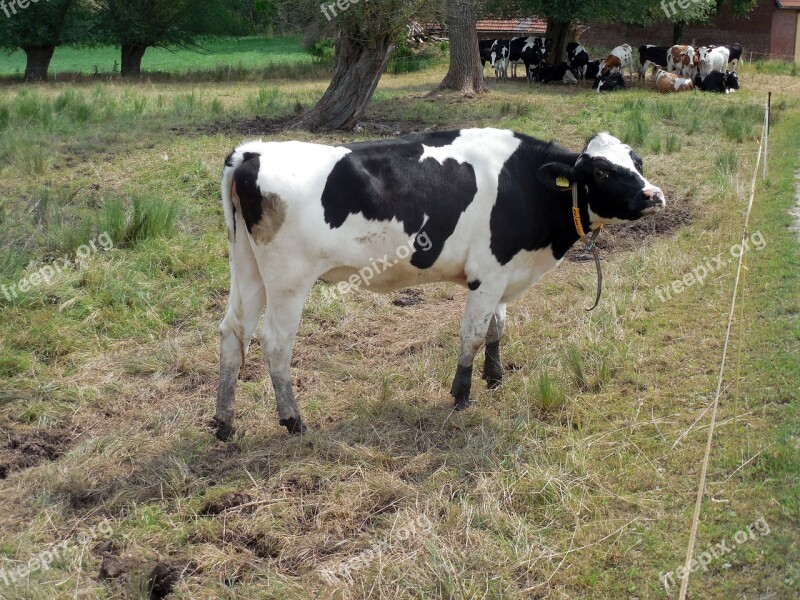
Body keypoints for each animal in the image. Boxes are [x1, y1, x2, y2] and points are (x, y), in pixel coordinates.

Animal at [216, 129, 664, 438]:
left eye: (638, 162)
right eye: (602, 170)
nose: (654, 196)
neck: (522, 185)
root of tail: (252, 152)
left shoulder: (504, 270)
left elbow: (497, 327)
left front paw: (495, 378)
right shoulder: (488, 273)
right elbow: (473, 333)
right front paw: (462, 394)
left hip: (249, 271)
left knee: (232, 332)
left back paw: (224, 422)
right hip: (288, 281)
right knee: (275, 342)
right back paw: (293, 420)